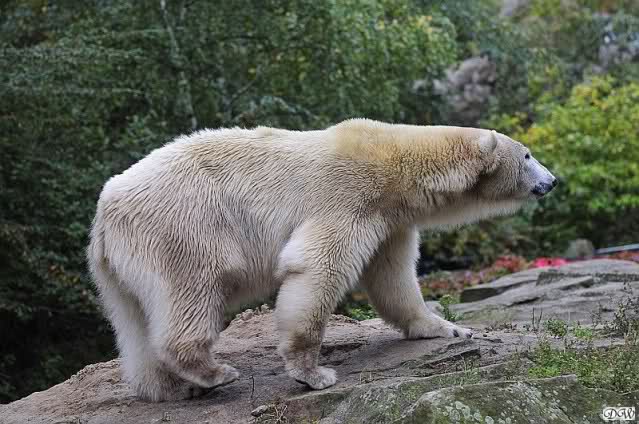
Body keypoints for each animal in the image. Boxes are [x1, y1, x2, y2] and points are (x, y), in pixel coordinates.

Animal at [87, 118, 556, 401]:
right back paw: (215, 372)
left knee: (132, 320)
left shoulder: (390, 218)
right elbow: (317, 267)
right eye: (528, 155)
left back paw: (167, 388)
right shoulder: (348, 194)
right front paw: (313, 373)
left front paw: (448, 328)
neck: (393, 160)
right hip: (182, 231)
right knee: (190, 294)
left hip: (118, 267)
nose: (552, 181)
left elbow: (393, 278)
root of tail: (106, 212)